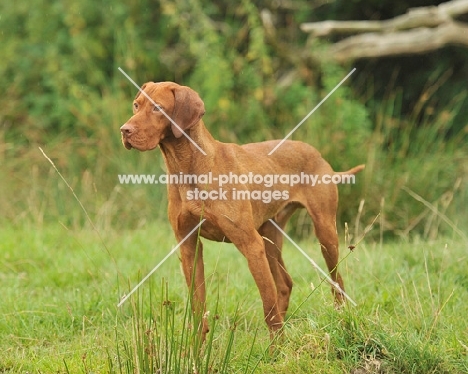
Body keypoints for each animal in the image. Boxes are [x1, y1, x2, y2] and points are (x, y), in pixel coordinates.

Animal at [119, 81, 364, 342]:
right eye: (136, 105)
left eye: (157, 108)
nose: (124, 130)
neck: (189, 168)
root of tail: (317, 154)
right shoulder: (189, 245)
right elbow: (197, 304)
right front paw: (196, 347)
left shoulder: (250, 244)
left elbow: (268, 306)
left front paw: (276, 350)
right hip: (270, 237)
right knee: (285, 284)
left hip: (324, 234)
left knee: (336, 281)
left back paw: (338, 319)